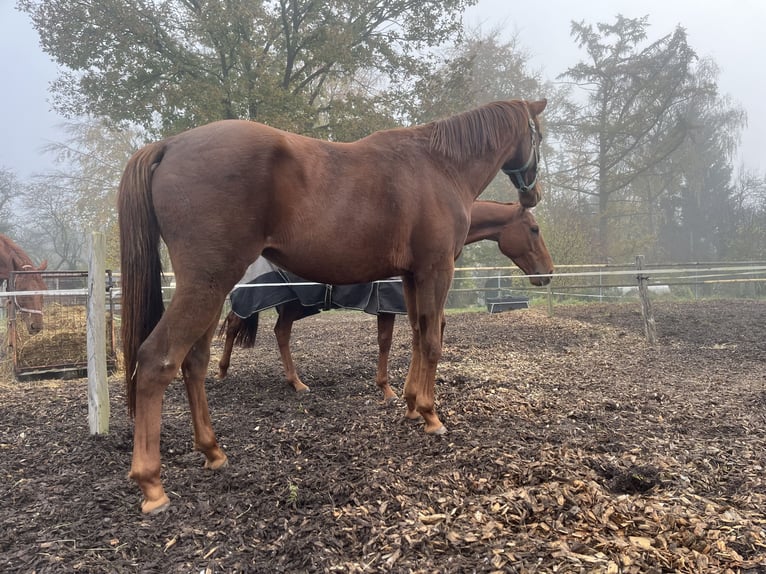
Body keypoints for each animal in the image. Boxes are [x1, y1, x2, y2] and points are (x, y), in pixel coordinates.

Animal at [219, 202, 556, 400]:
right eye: (534, 228)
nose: (548, 272)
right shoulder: (387, 304)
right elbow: (387, 342)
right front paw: (390, 389)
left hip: (293, 304)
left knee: (279, 332)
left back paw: (295, 382)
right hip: (271, 298)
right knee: (235, 323)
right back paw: (222, 372)